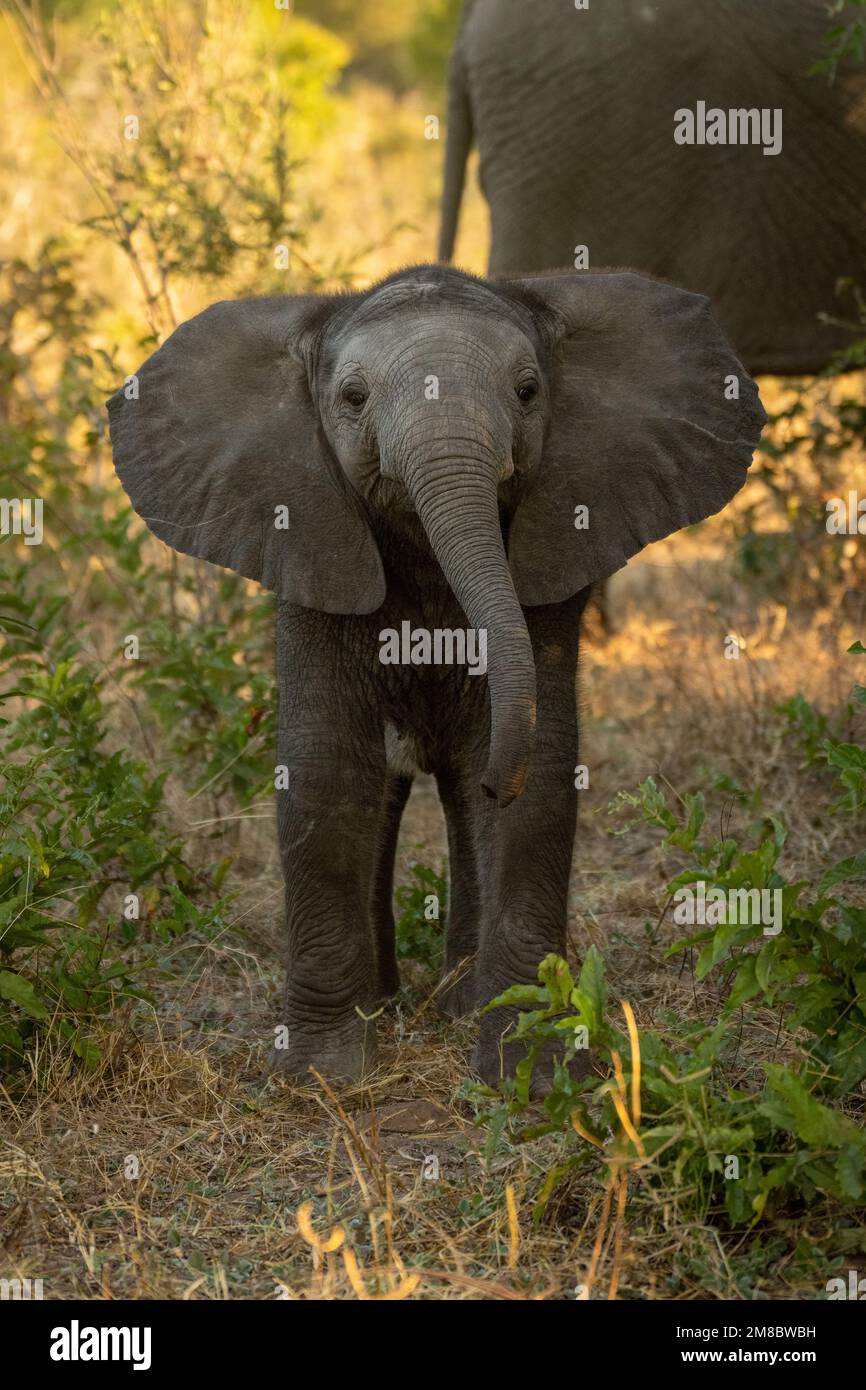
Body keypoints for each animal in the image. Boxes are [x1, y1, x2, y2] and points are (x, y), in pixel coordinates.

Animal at [108, 264, 765, 1085]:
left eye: (528, 391)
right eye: (353, 398)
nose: (494, 780)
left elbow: (542, 781)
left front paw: (529, 1073)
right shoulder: (311, 546)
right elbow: (326, 774)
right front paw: (322, 1076)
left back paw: (455, 1002)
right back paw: (392, 1002)